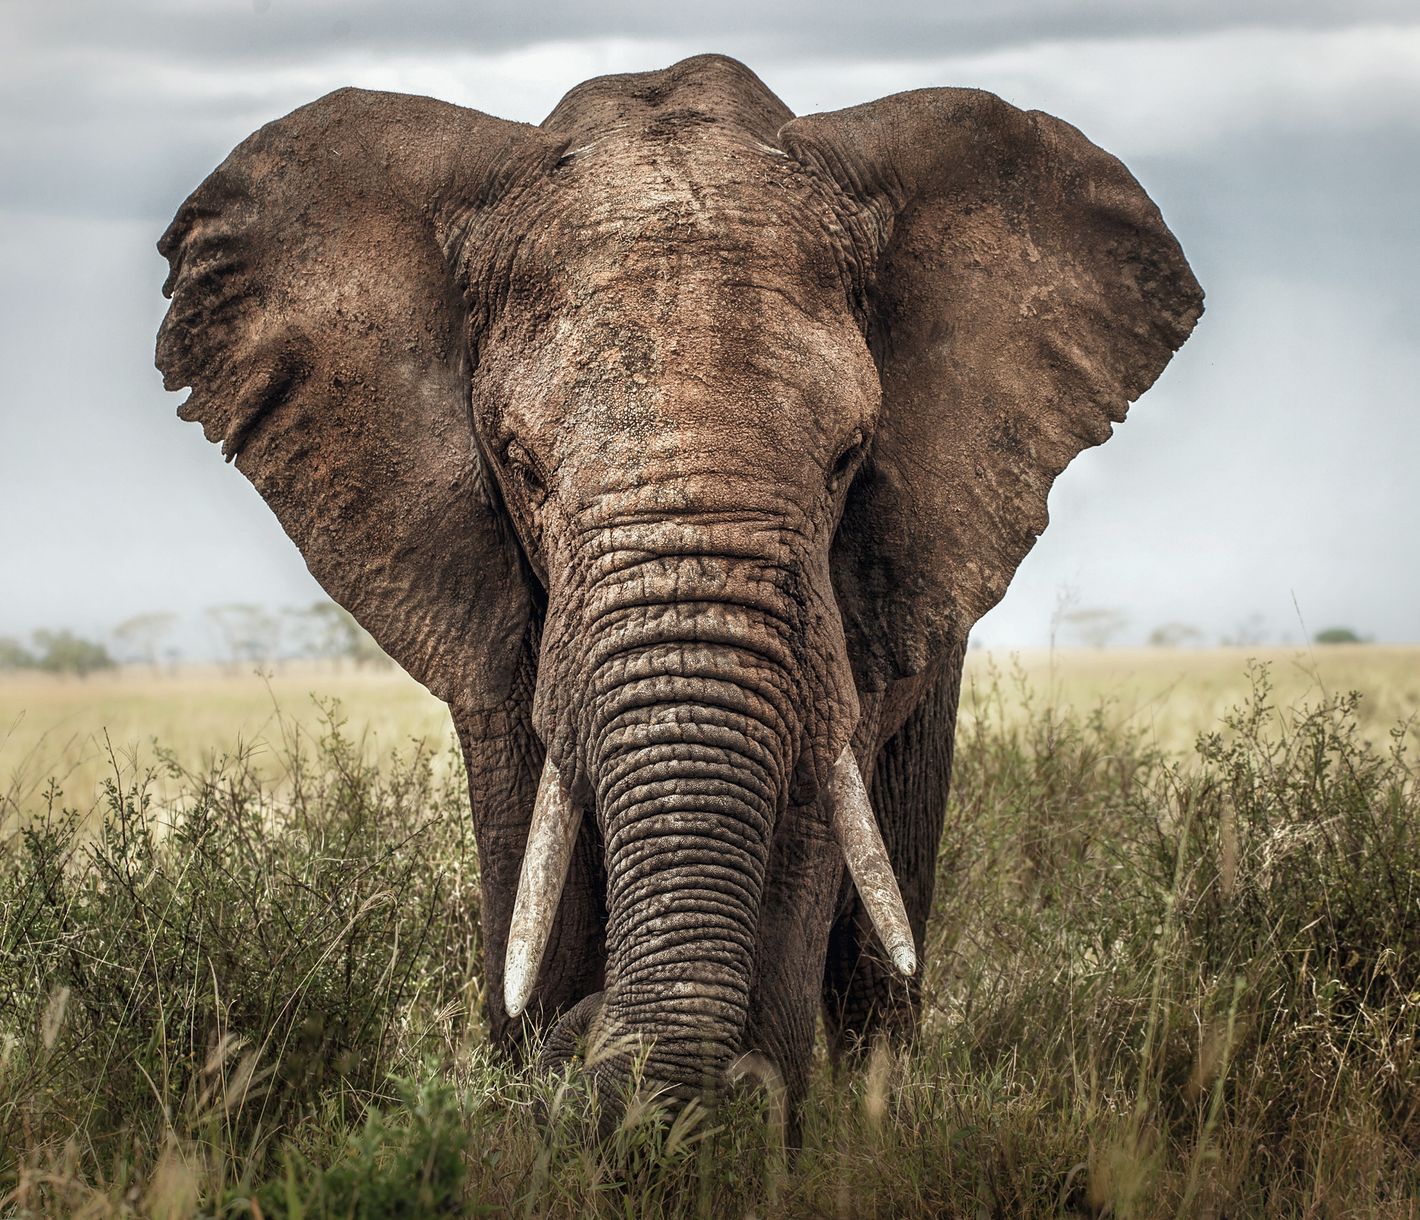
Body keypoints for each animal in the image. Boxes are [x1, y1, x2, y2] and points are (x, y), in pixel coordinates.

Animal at [155, 53, 1202, 1130]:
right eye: (522, 466)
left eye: (848, 457)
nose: (590, 1037)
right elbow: (529, 835)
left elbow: (809, 817)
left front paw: (741, 1120)